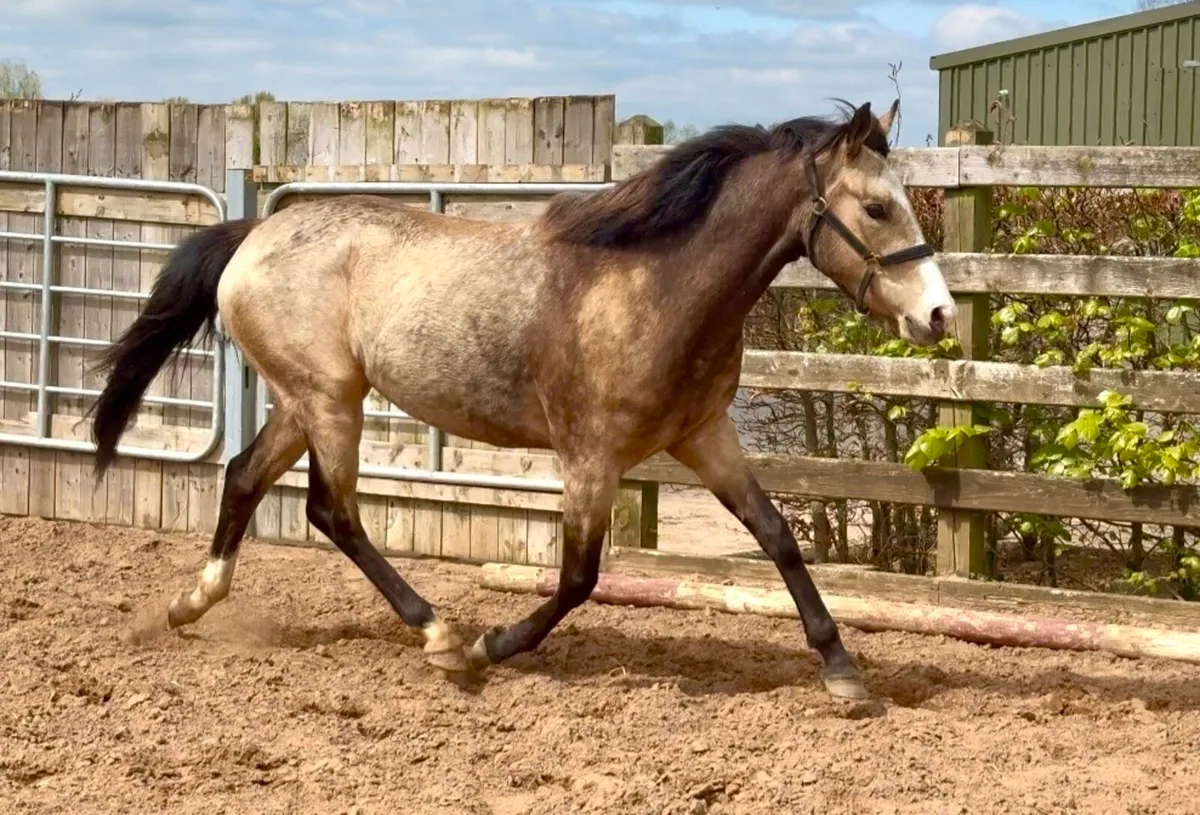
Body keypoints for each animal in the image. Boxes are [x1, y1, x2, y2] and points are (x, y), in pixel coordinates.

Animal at [88, 98, 953, 701]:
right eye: (878, 207)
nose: (939, 315)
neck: (657, 284)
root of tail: (252, 237)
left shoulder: (705, 436)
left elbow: (777, 536)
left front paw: (843, 671)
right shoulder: (590, 459)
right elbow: (577, 578)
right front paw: (486, 648)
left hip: (305, 402)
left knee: (244, 476)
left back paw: (191, 603)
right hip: (331, 401)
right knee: (332, 511)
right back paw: (439, 633)